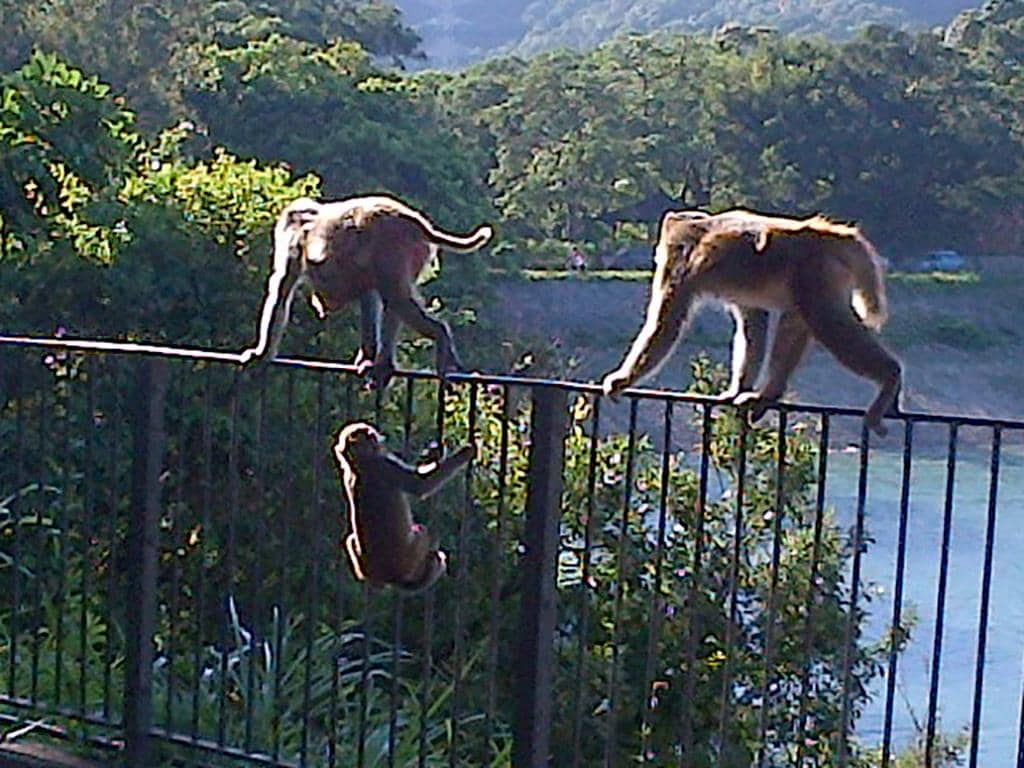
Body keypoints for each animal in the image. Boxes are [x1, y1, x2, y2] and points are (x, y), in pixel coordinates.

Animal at [239, 195, 494, 388]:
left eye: (286, 225)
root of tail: (415, 222)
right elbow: (368, 293)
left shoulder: (295, 243)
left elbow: (282, 291)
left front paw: (262, 352)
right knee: (391, 296)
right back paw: (383, 362)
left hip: (395, 248)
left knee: (395, 296)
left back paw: (438, 335)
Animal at [333, 421, 475, 594]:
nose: (379, 437)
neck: (360, 465)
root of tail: (387, 577)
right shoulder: (387, 467)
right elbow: (421, 485)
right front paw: (466, 451)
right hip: (410, 560)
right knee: (423, 533)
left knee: (350, 538)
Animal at [601, 208, 902, 436]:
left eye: (665, 247)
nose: (656, 254)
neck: (696, 230)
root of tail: (822, 234)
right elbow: (754, 322)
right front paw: (738, 388)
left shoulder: (680, 269)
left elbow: (665, 325)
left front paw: (622, 379)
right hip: (811, 275)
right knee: (797, 318)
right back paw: (770, 393)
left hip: (814, 270)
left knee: (825, 321)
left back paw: (890, 375)